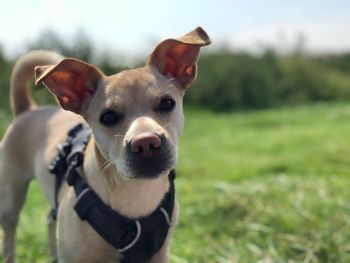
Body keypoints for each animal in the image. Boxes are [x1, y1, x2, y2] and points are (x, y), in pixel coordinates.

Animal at [0, 26, 211, 262]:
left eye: (167, 103)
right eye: (108, 117)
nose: (146, 143)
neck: (135, 192)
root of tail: (27, 109)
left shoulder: (159, 254)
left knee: (49, 218)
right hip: (10, 196)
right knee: (9, 233)